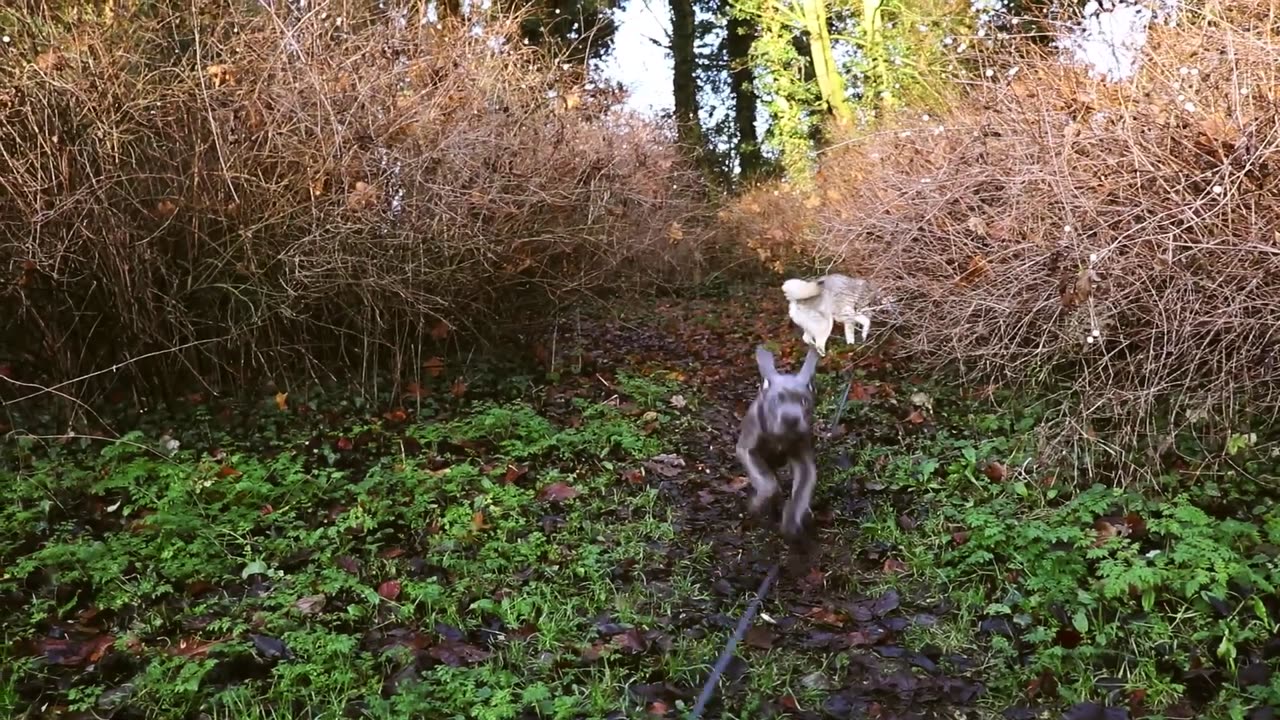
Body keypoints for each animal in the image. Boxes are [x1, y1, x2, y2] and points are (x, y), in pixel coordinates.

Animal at [742, 343, 819, 538]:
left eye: (803, 401)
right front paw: (756, 505)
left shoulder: (803, 459)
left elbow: (801, 490)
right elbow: (767, 483)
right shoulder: (747, 451)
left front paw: (791, 520)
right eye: (777, 400)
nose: (791, 420)